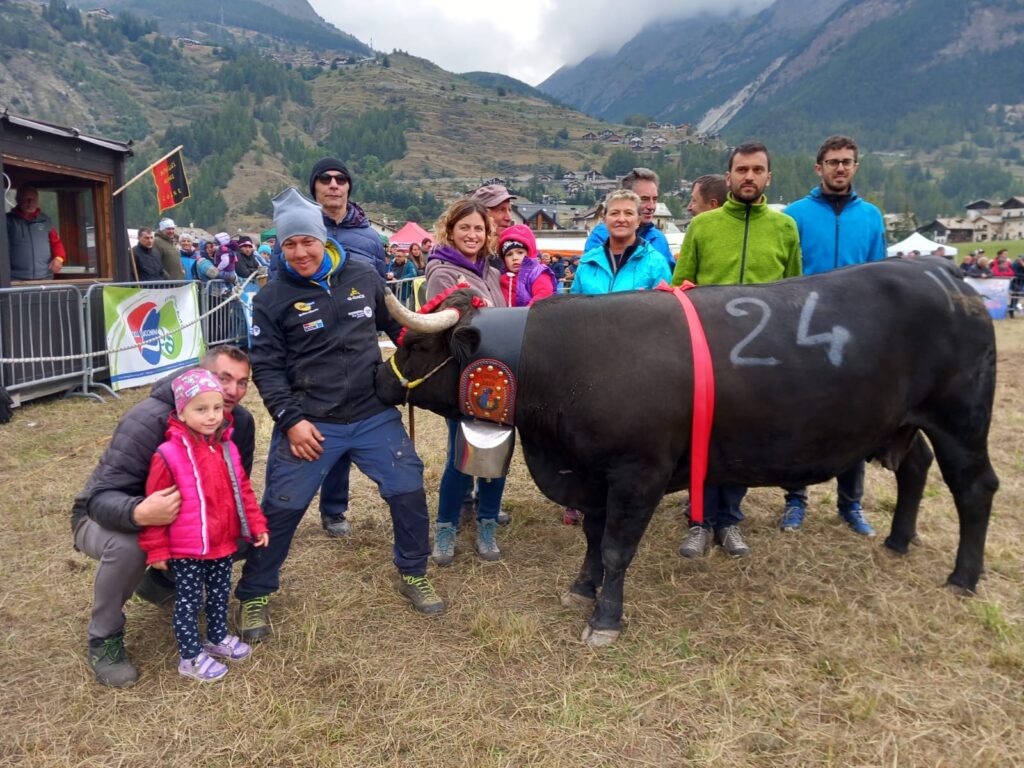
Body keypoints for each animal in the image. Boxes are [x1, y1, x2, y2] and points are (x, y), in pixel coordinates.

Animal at [376, 260, 991, 651]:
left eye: (417, 344)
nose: (378, 381)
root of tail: (944, 274)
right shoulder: (593, 474)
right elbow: (593, 538)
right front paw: (582, 587)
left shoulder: (638, 472)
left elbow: (617, 548)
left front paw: (606, 619)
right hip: (907, 422)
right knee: (915, 468)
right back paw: (898, 540)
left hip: (961, 420)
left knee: (975, 486)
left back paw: (963, 577)